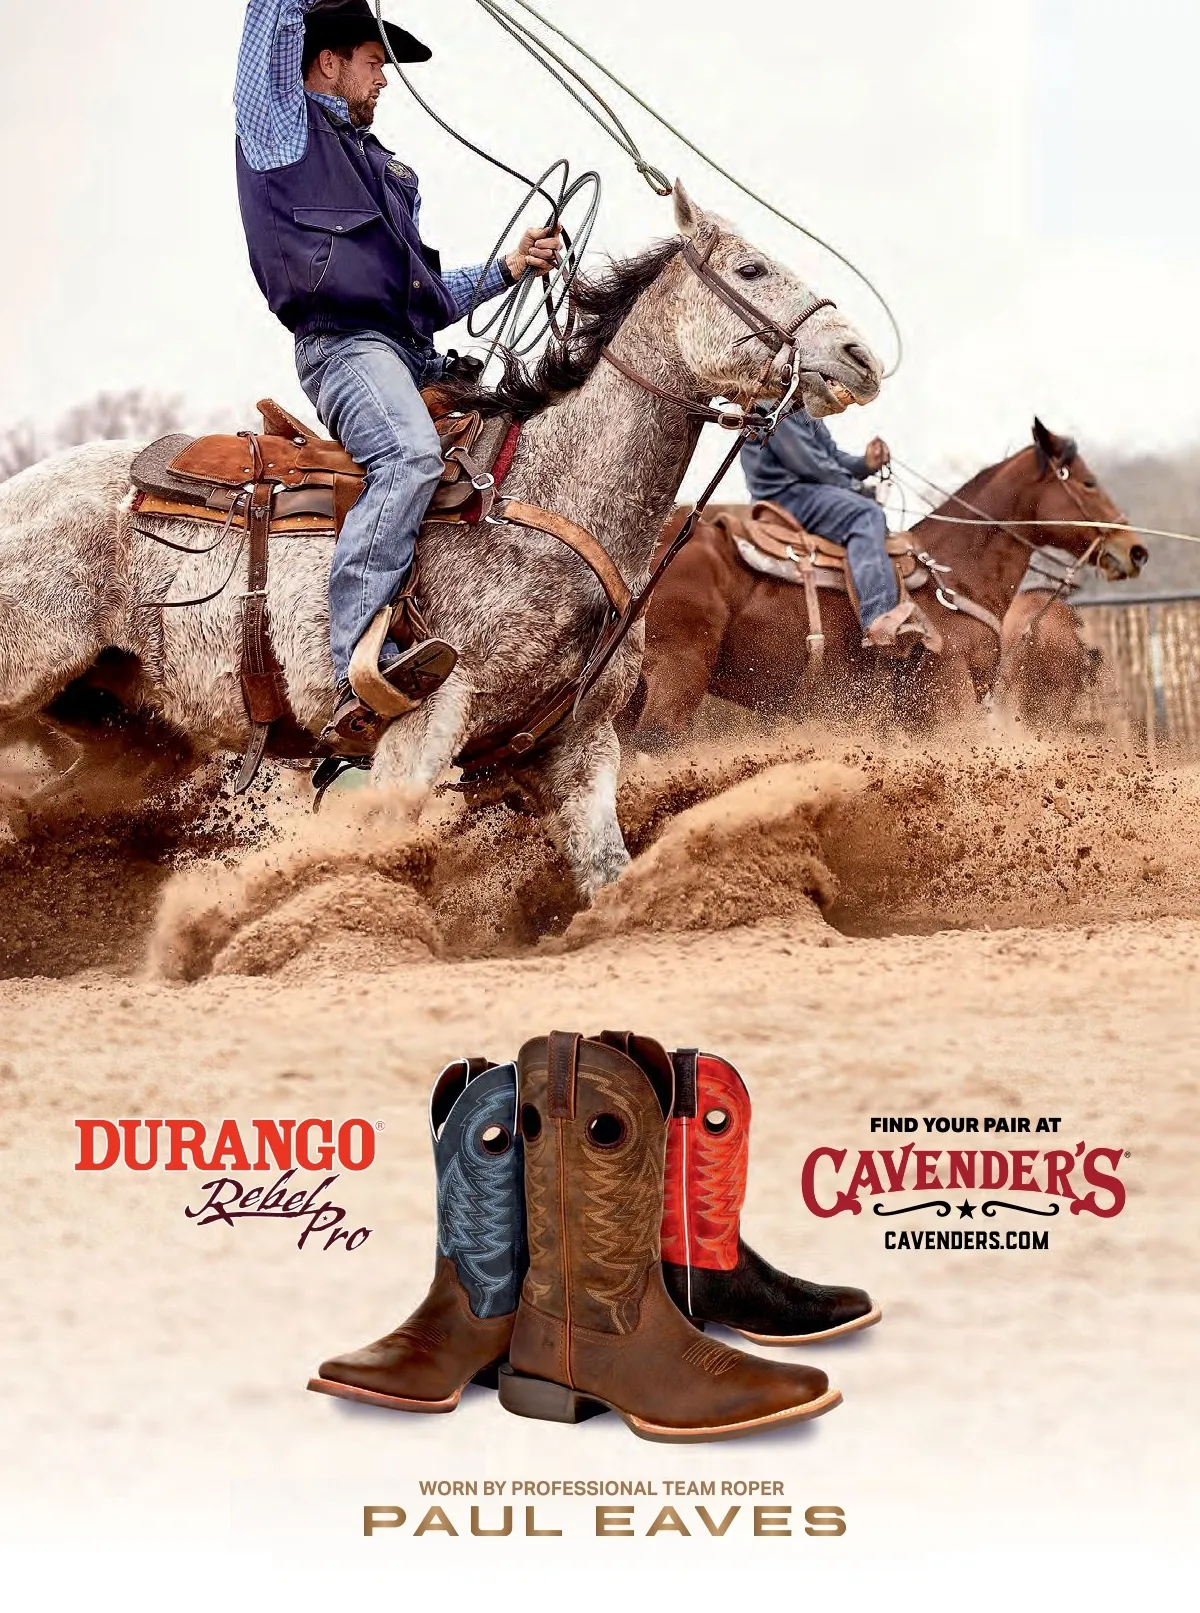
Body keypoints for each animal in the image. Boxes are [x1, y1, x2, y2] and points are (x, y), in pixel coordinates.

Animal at [0, 184, 881, 901]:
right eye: (751, 269)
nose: (860, 355)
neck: (545, 502)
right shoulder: (418, 732)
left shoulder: (580, 747)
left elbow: (609, 874)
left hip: (132, 736)